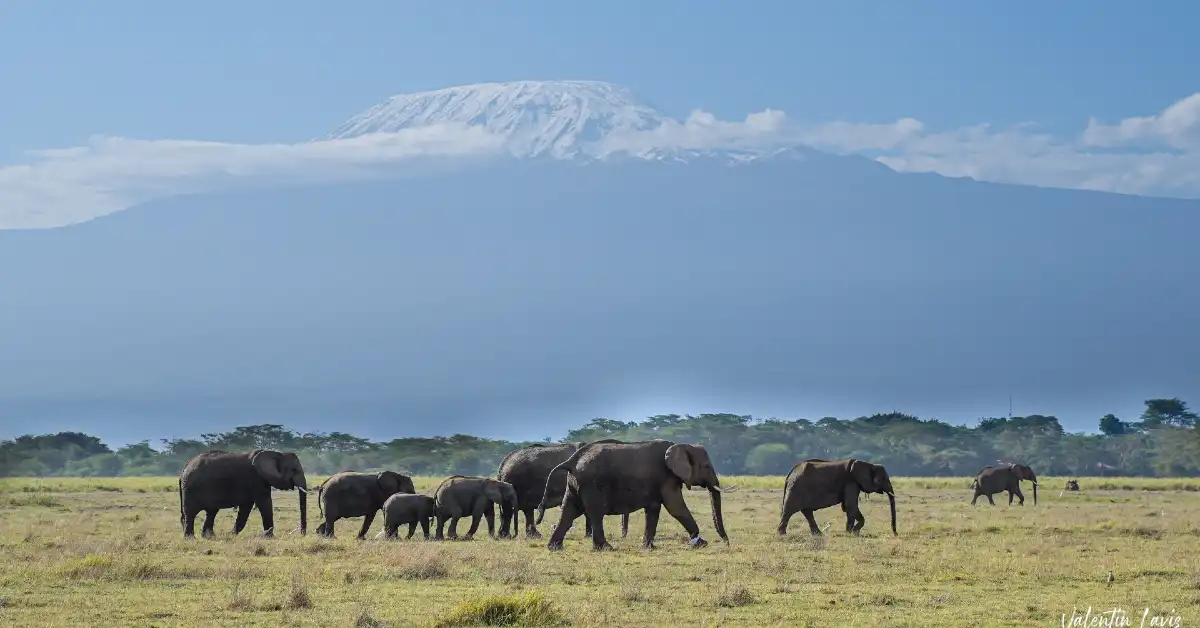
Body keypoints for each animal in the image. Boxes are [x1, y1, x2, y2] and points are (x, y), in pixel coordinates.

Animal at [178, 446, 312, 540]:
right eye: (294, 470)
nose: (302, 534)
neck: (277, 453)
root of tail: (184, 469)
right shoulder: (256, 479)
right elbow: (264, 503)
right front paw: (269, 537)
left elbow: (246, 507)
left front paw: (231, 535)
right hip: (190, 489)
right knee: (191, 513)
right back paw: (190, 539)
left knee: (211, 512)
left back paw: (209, 536)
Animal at [494, 441, 633, 540]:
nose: (623, 536)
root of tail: (502, 464)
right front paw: (588, 536)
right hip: (515, 481)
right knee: (511, 510)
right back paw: (507, 536)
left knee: (524, 510)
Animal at [537, 439, 729, 552]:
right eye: (706, 466)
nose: (726, 543)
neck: (682, 445)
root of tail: (572, 460)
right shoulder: (666, 476)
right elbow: (675, 507)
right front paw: (702, 543)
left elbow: (653, 509)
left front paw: (649, 547)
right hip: (592, 484)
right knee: (595, 513)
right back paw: (606, 548)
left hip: (575, 483)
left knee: (569, 510)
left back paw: (554, 548)